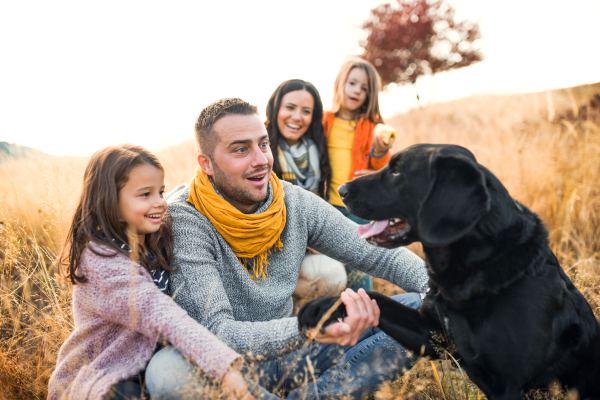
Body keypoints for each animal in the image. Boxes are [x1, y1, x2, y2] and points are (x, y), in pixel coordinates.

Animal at [298, 145, 600, 400]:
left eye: (397, 171)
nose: (342, 189)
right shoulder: (431, 335)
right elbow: (377, 298)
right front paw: (322, 307)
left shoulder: (508, 385)